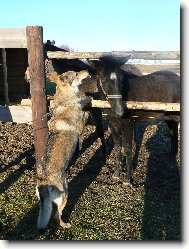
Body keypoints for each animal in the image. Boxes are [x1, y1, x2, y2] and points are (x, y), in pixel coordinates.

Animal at [36, 70, 91, 231]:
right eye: (77, 74)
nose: (87, 71)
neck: (65, 101)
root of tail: (44, 181)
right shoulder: (81, 126)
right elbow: (84, 107)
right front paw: (87, 98)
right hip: (65, 194)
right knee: (56, 216)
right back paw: (66, 225)